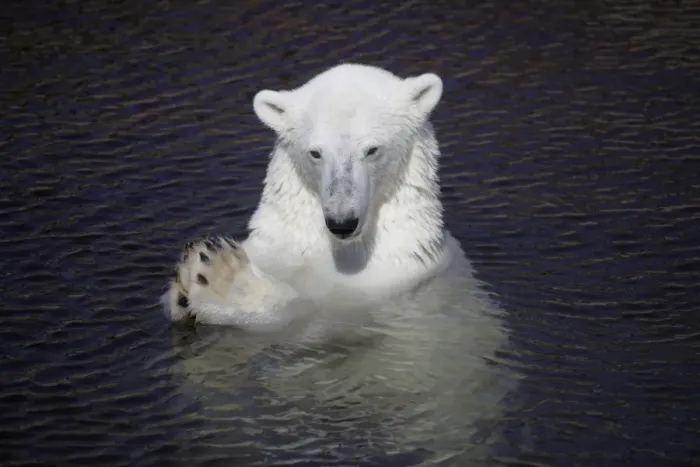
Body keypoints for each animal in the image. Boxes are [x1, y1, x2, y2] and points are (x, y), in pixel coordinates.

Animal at [162, 64, 515, 464]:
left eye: (372, 149)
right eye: (315, 152)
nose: (341, 221)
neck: (343, 251)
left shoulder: (381, 292)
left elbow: (308, 319)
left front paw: (219, 274)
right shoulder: (284, 244)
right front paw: (182, 287)